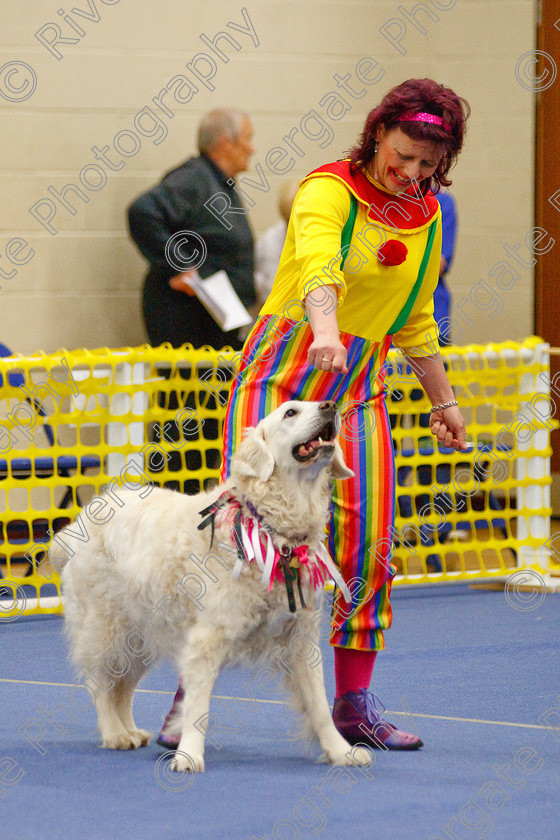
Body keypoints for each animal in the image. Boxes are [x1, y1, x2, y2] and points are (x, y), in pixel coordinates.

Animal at [53, 400, 372, 776]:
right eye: (290, 413)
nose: (330, 405)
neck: (268, 526)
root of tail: (81, 519)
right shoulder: (208, 639)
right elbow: (197, 709)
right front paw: (189, 755)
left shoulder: (301, 639)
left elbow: (320, 706)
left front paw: (341, 752)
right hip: (108, 628)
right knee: (102, 685)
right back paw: (114, 733)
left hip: (141, 635)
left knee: (123, 688)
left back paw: (130, 730)